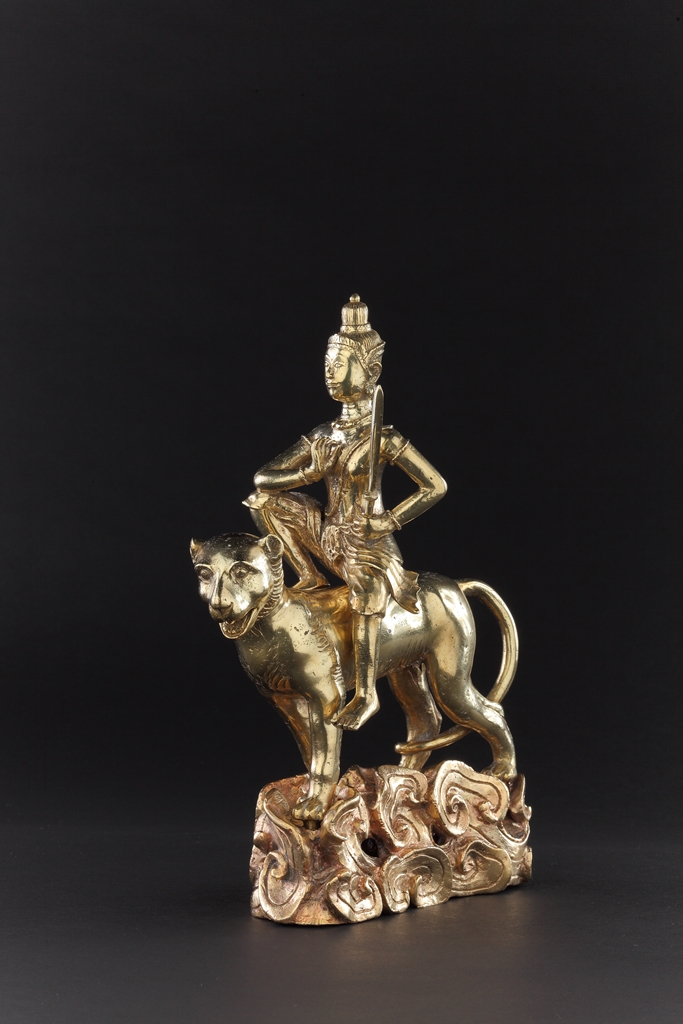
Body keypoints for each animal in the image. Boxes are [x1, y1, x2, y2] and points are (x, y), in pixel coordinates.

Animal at [191, 532, 519, 825]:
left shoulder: (326, 699)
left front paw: (314, 805)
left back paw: (502, 770)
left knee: (491, 712)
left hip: (448, 676)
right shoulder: (284, 702)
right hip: (405, 671)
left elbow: (323, 755)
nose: (220, 605)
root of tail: (455, 584)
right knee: (426, 721)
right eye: (205, 574)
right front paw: (314, 795)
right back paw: (401, 779)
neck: (267, 629)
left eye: (241, 570)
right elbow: (311, 750)